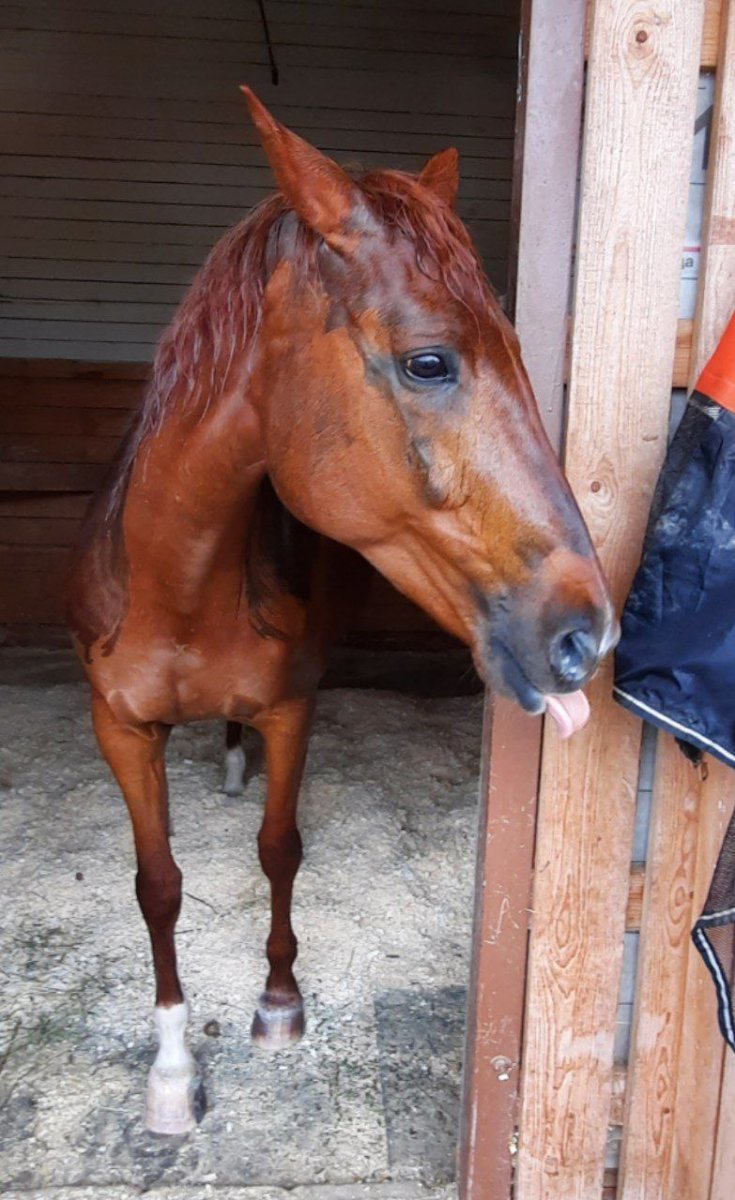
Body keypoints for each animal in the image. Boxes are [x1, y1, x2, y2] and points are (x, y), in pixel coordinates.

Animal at [64, 91, 614, 1132]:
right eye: (428, 362)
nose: (586, 635)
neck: (181, 591)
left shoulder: (293, 708)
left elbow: (278, 849)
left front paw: (278, 1004)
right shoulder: (119, 728)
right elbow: (158, 886)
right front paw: (171, 1075)